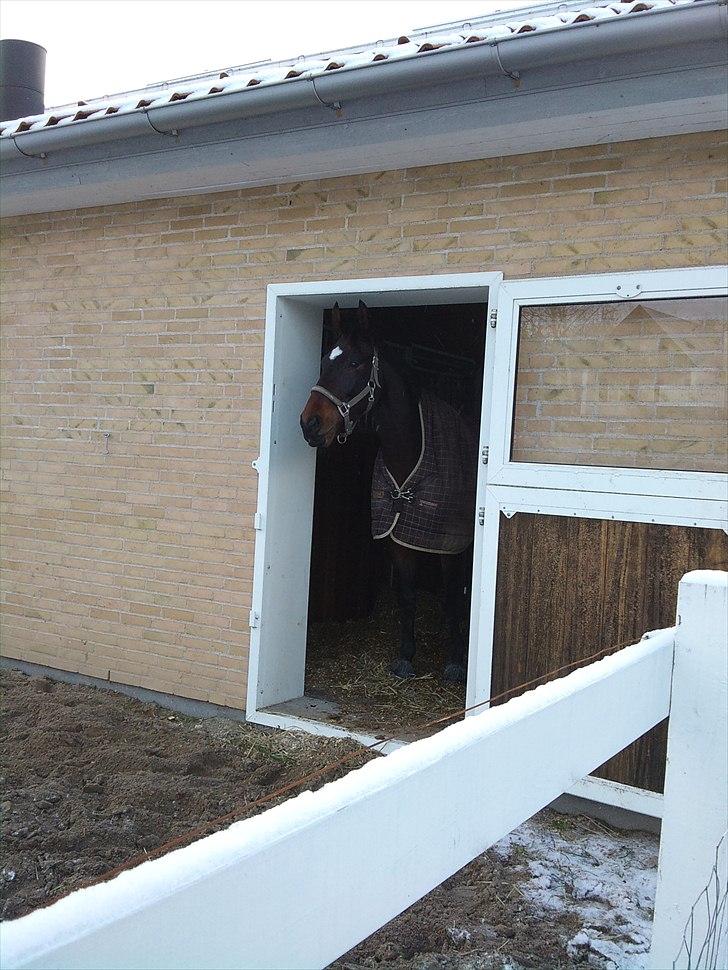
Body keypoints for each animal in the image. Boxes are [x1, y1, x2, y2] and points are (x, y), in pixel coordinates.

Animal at [298, 298, 474, 684]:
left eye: (354, 363)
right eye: (324, 361)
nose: (310, 424)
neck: (412, 453)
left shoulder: (449, 544)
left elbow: (452, 597)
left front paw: (455, 662)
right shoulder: (398, 539)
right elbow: (407, 596)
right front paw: (406, 657)